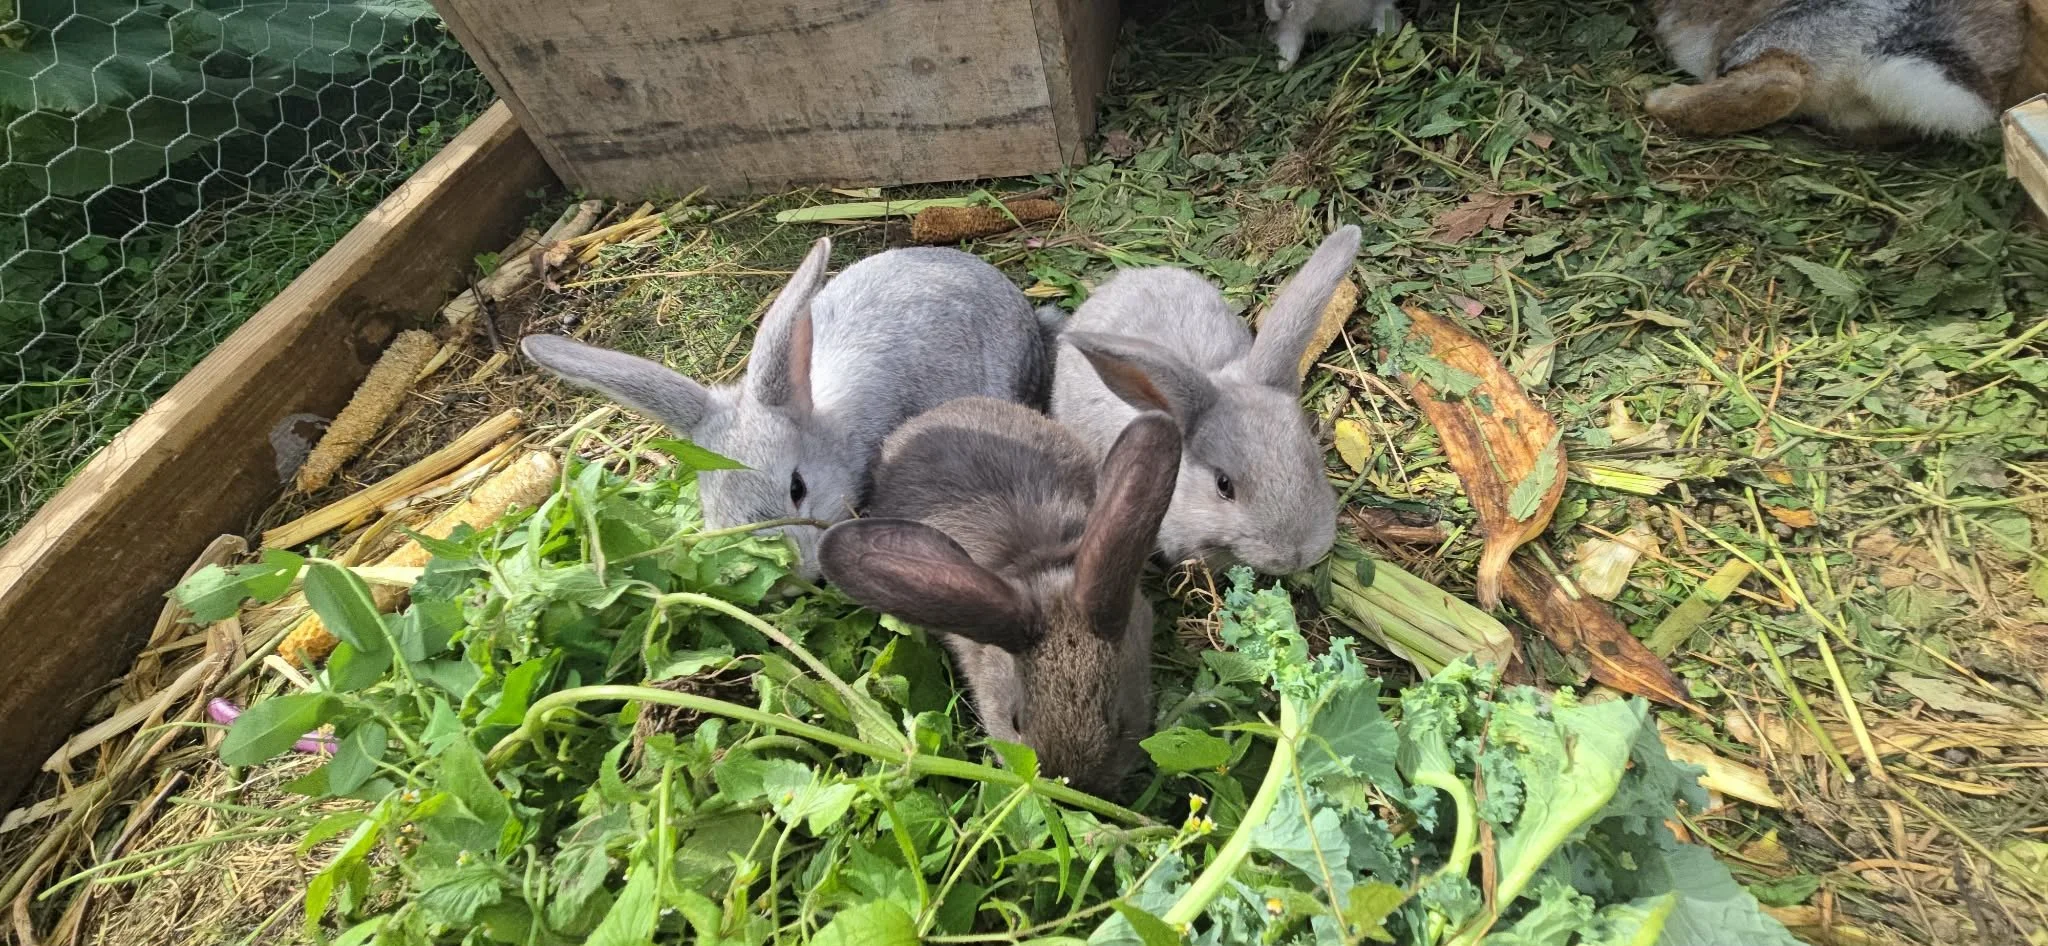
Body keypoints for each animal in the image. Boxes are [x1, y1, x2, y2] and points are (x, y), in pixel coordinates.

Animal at [1267, 0, 1403, 71]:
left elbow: (1383, 9)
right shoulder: (1292, 24)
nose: (1282, 5)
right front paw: (1284, 62)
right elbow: (1290, 34)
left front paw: (1385, 31)